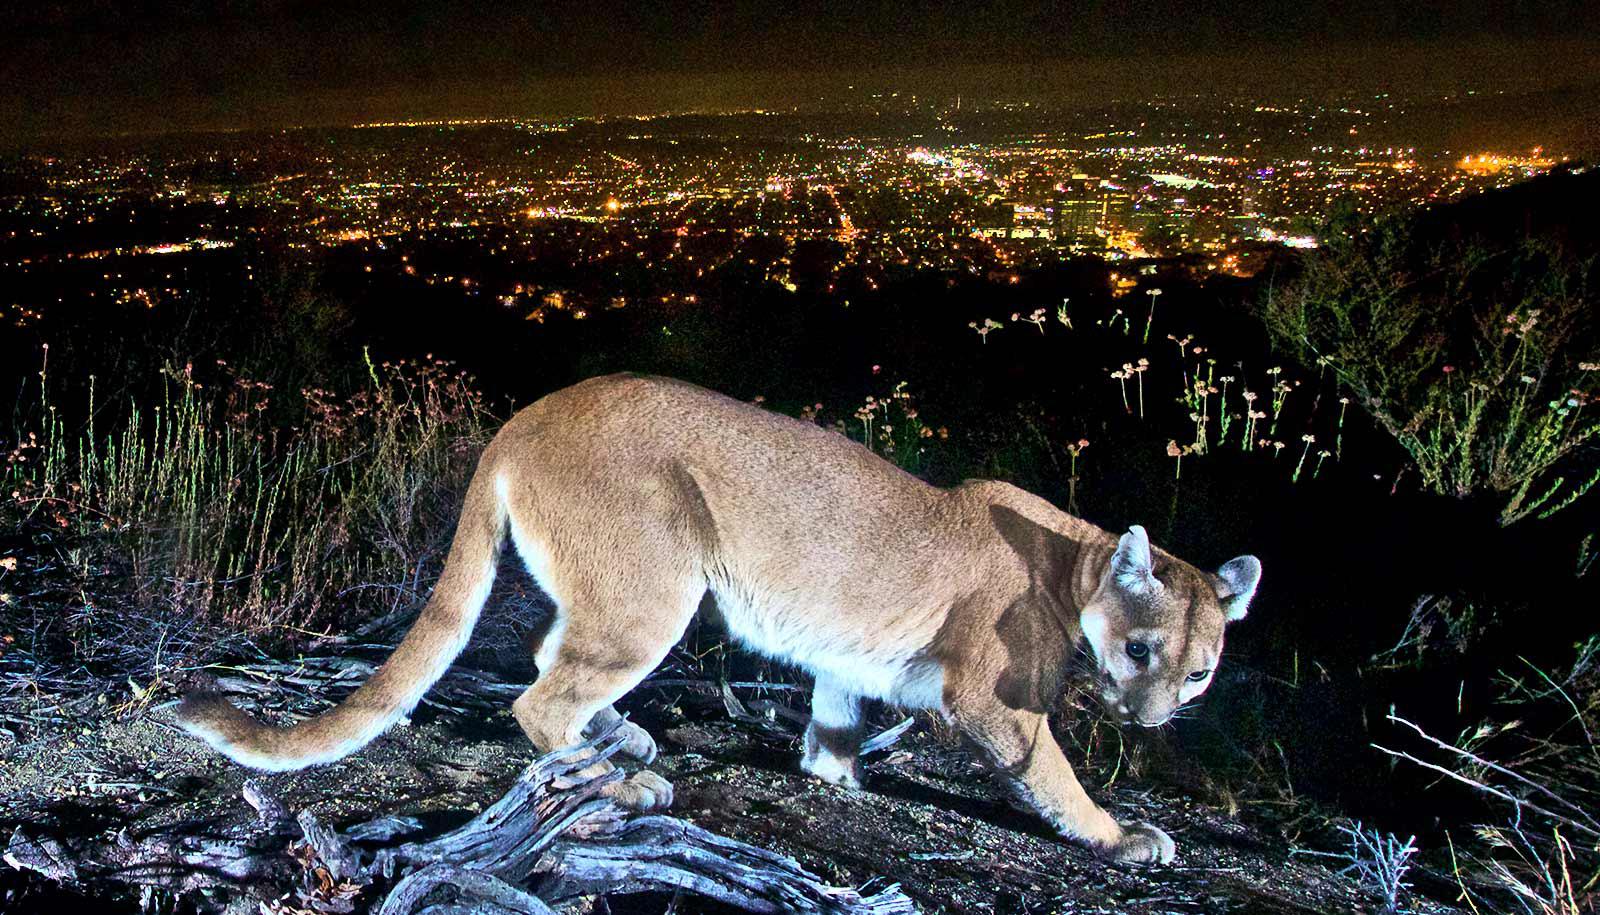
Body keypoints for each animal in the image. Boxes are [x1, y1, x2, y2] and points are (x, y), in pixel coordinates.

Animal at [178, 367, 1260, 863]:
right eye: (1141, 649)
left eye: (1198, 669)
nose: (1155, 717)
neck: (1076, 561)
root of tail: (526, 414)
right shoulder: (995, 698)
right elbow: (1051, 771)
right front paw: (1120, 836)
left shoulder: (849, 658)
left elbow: (835, 717)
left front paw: (834, 773)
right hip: (659, 584)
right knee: (541, 695)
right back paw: (617, 780)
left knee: (549, 654)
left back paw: (622, 740)